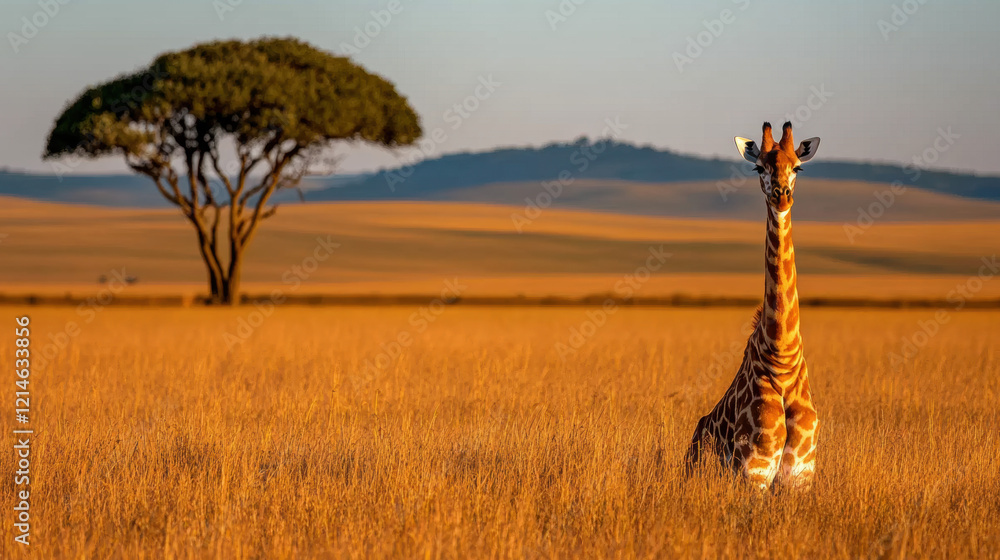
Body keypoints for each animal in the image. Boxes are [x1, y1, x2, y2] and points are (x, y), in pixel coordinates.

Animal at [684, 121, 821, 490]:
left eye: (797, 167)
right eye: (759, 167)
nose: (781, 196)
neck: (782, 355)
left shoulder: (799, 475)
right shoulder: (753, 473)